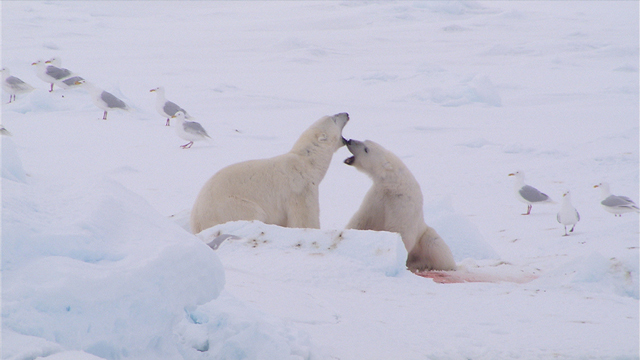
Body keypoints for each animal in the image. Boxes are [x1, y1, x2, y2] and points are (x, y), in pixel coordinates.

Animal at [190, 114, 350, 235]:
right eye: (334, 118)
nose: (347, 113)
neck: (307, 162)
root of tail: (197, 223)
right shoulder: (299, 186)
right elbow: (305, 215)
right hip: (231, 206)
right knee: (254, 213)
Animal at [342, 139, 458, 272]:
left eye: (366, 149)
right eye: (365, 140)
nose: (349, 140)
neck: (393, 183)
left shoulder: (402, 203)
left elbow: (400, 230)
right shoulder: (377, 197)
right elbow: (361, 219)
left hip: (425, 237)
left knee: (436, 246)